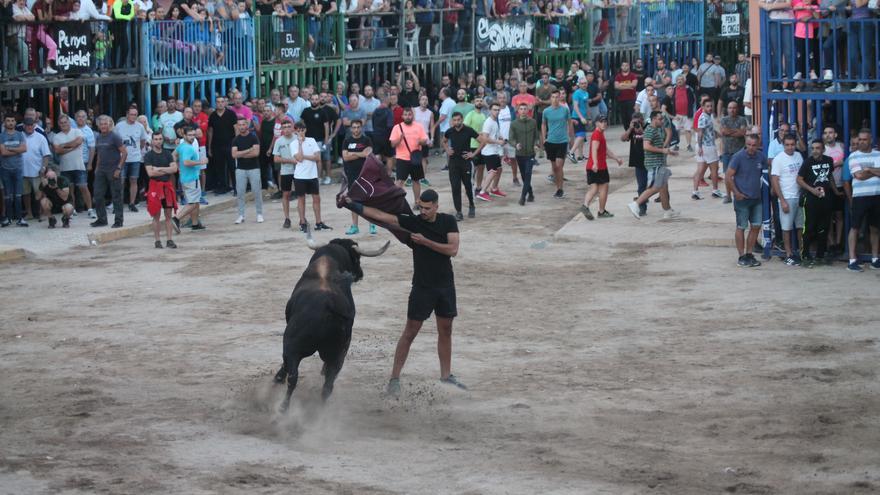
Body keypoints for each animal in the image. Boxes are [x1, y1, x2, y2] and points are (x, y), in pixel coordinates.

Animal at [272, 238, 388, 412]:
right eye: (357, 259)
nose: (360, 274)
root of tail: (328, 305)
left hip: (292, 345)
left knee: (293, 376)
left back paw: (282, 406)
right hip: (338, 352)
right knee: (328, 385)